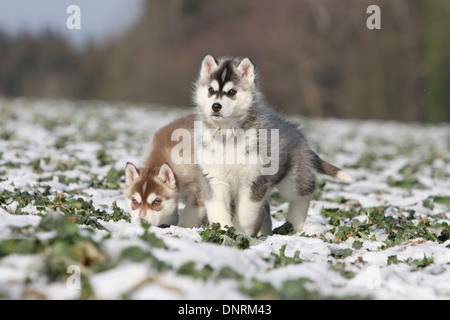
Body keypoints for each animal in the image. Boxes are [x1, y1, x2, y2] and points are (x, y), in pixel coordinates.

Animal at [192, 55, 350, 236]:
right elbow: (218, 210)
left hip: (291, 180)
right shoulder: (214, 179)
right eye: (211, 90)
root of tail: (297, 132)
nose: (216, 106)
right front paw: (224, 232)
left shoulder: (255, 180)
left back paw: (294, 224)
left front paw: (242, 232)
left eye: (232, 92)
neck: (227, 134)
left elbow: (246, 214)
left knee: (306, 190)